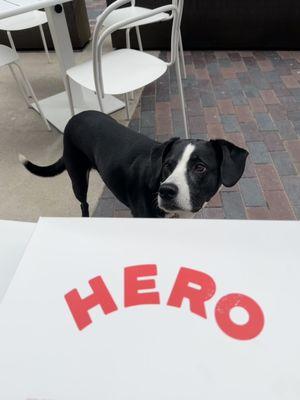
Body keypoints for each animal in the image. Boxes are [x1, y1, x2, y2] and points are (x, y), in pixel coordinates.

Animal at [19, 111, 248, 219]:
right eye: (167, 164)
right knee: (83, 204)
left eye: (200, 167)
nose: (166, 191)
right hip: (78, 178)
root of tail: (75, 116)